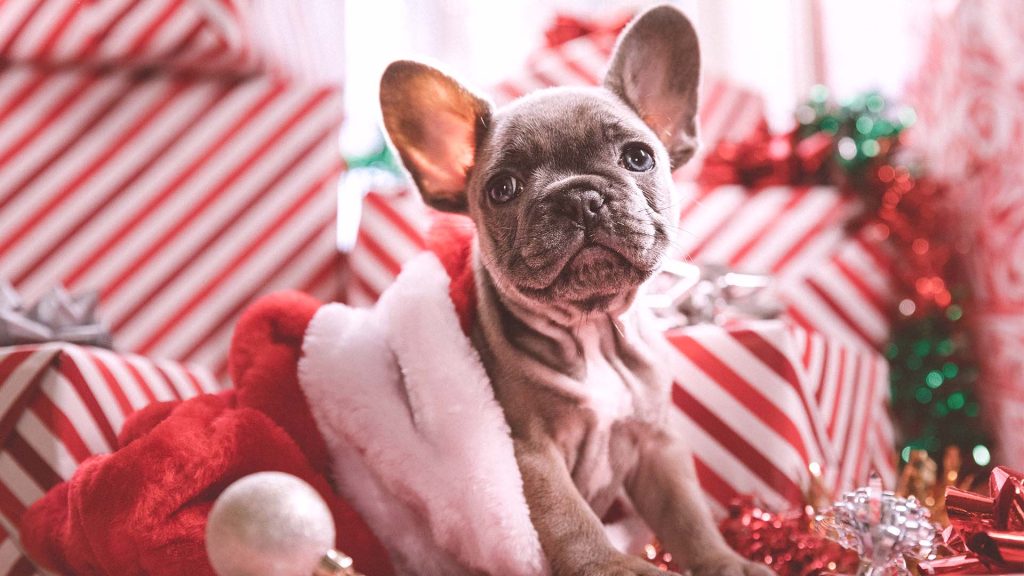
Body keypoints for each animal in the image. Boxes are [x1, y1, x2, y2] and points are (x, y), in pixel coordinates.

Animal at [380, 5, 770, 573]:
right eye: (502, 188)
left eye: (638, 158)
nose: (579, 196)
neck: (591, 329)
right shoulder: (530, 455)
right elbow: (570, 520)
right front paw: (615, 566)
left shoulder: (657, 445)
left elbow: (689, 515)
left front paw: (726, 562)